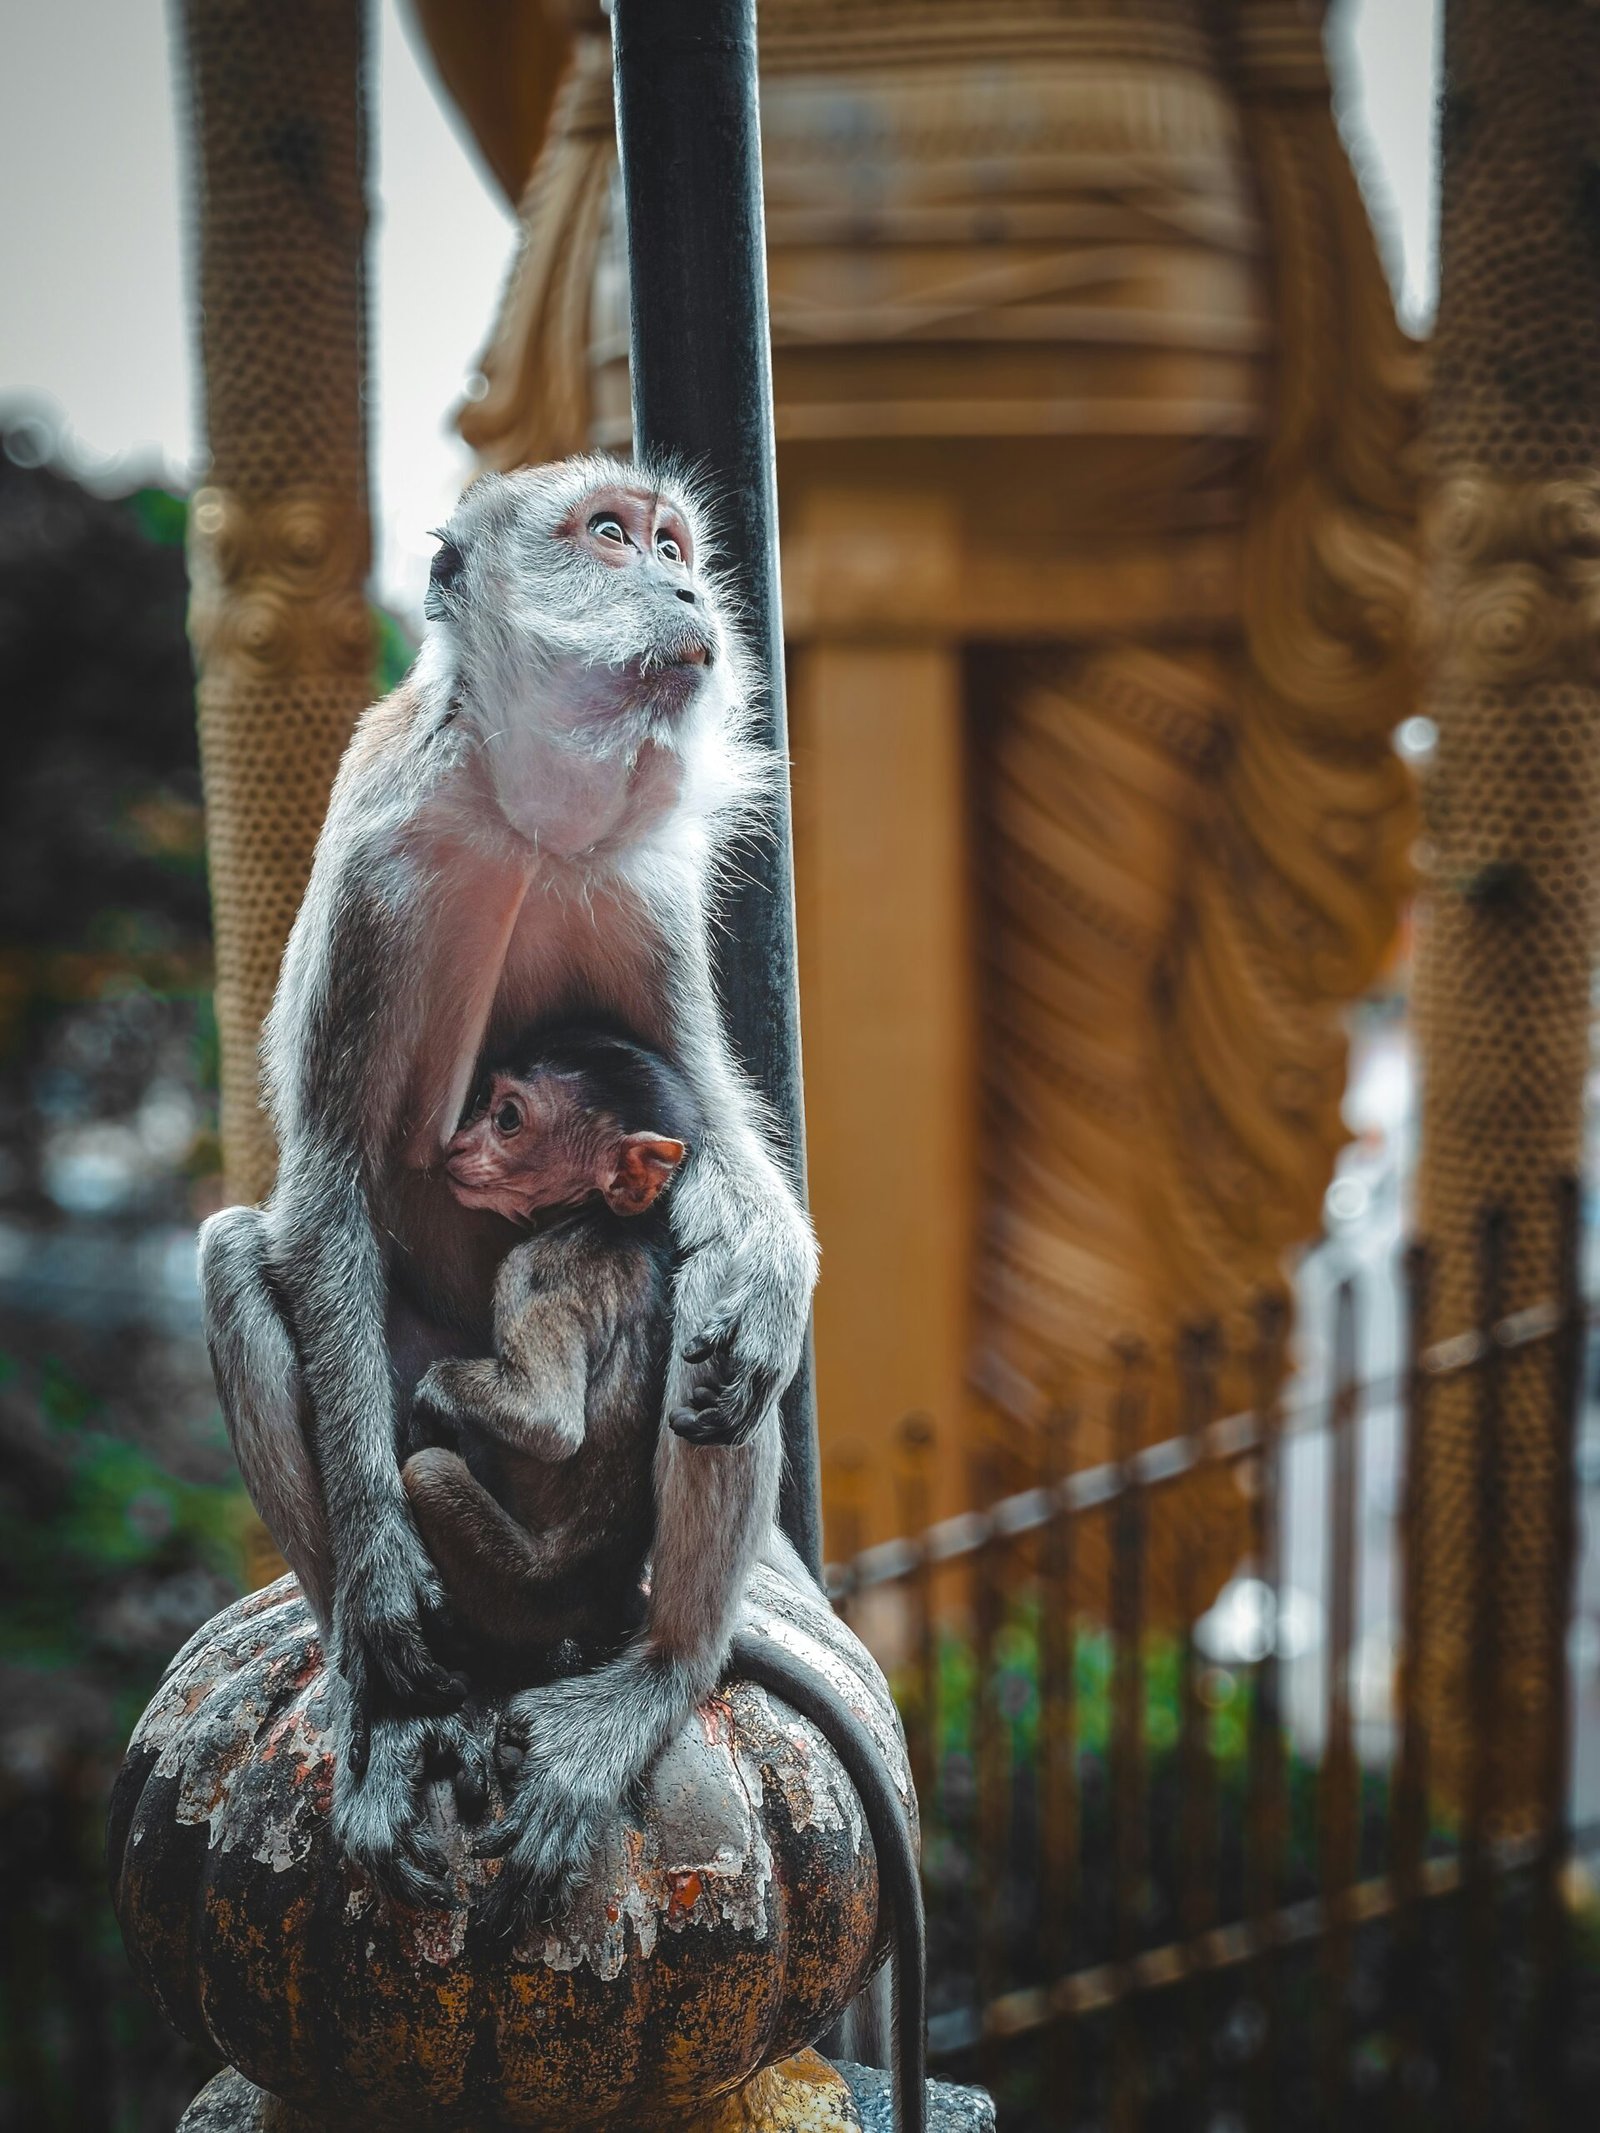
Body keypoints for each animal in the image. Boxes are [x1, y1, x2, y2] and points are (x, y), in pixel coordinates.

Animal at [200, 450, 819, 1902]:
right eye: (608, 538)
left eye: (674, 544)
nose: (682, 588)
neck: (536, 824)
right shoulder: (377, 884)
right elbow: (326, 1183)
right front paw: (378, 1575)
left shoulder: (646, 897)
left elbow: (711, 1129)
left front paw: (770, 1274)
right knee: (245, 1262)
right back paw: (391, 1698)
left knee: (707, 1326)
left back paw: (658, 1675)